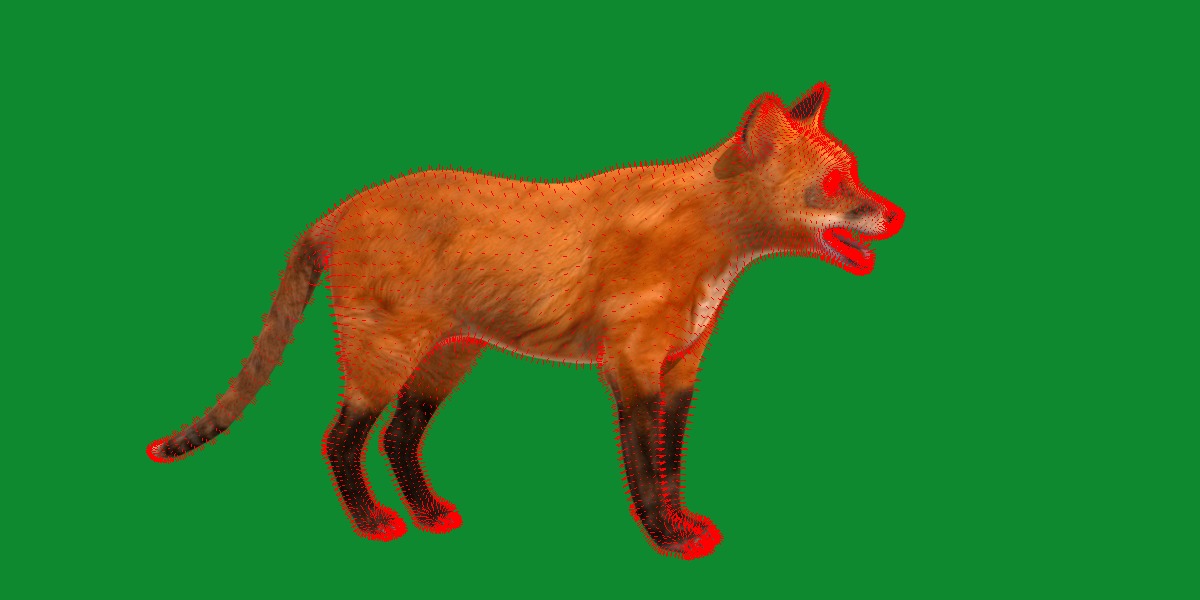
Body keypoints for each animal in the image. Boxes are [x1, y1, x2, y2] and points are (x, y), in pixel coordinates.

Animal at [147, 82, 905, 560]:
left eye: (856, 175)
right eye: (837, 187)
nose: (895, 214)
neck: (711, 252)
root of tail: (346, 204)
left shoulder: (682, 367)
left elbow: (675, 462)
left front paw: (685, 523)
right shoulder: (630, 367)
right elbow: (645, 469)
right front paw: (666, 539)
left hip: (446, 359)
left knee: (397, 438)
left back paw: (429, 515)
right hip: (383, 359)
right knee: (339, 440)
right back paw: (373, 523)